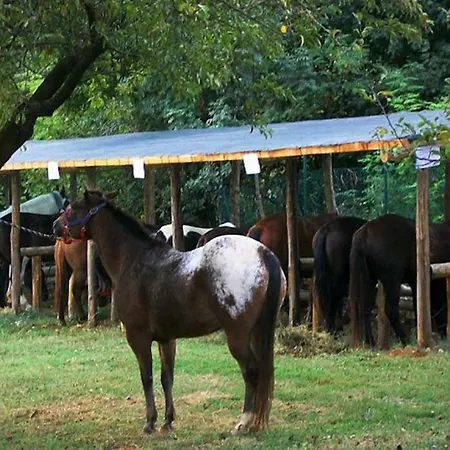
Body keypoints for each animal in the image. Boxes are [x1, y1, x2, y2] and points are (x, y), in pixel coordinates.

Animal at [53, 190, 286, 434]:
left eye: (72, 208)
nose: (55, 225)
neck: (133, 259)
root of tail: (262, 253)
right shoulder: (166, 339)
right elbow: (167, 378)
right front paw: (167, 421)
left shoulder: (138, 337)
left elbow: (147, 377)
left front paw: (150, 422)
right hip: (257, 331)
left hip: (238, 337)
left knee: (251, 371)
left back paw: (244, 421)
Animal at [349, 214, 449, 347]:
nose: (444, 335)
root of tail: (364, 231)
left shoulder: (415, 283)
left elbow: (418, 307)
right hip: (392, 279)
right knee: (390, 310)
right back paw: (404, 340)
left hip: (369, 278)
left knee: (365, 308)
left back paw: (371, 342)